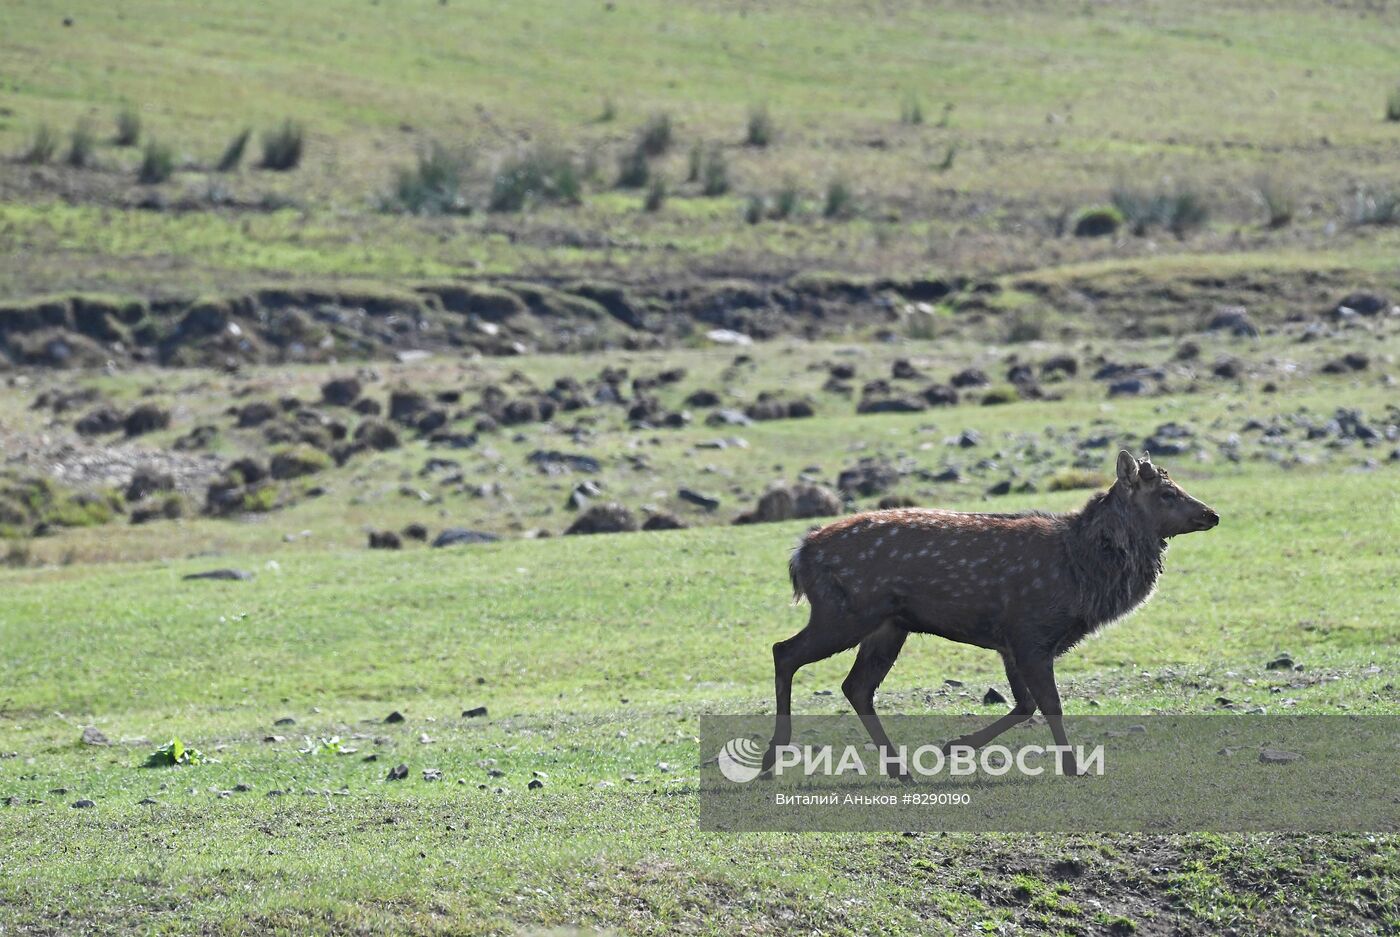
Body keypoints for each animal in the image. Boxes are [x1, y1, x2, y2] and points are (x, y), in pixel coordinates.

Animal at [767, 450, 1215, 773]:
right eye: (1167, 493)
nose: (1212, 514)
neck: (1082, 571)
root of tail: (800, 554)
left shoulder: (1012, 642)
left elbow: (1024, 705)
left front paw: (954, 747)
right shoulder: (1031, 631)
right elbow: (1050, 704)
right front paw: (1074, 767)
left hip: (888, 626)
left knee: (856, 686)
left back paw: (899, 769)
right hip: (844, 613)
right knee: (784, 651)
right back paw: (774, 757)